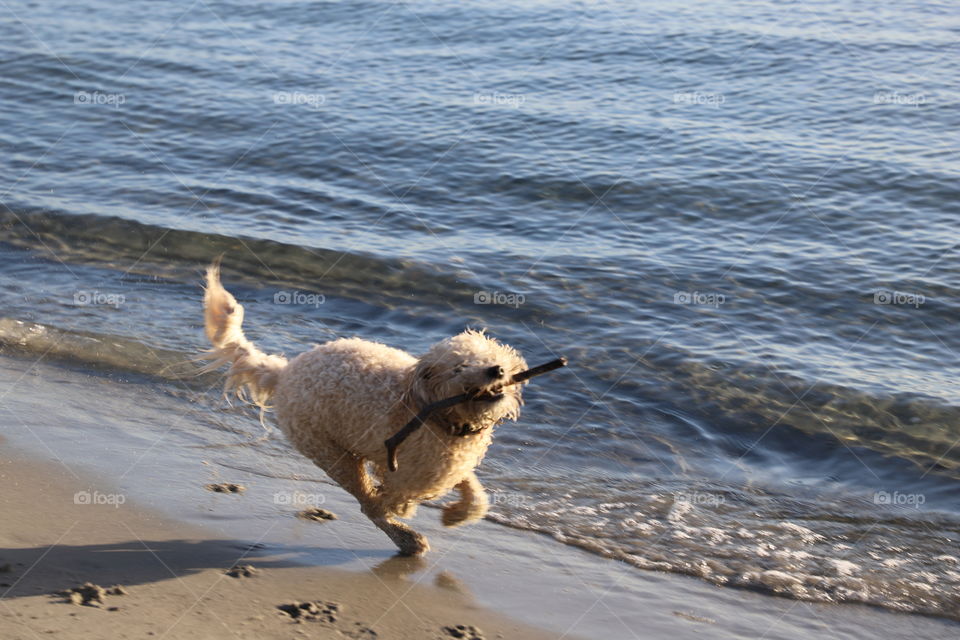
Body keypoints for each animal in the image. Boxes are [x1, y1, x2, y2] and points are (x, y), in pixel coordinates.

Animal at [204, 262, 532, 556]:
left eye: (489, 355)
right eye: (459, 367)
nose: (496, 369)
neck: (437, 414)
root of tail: (284, 372)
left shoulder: (453, 464)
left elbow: (475, 495)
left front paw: (456, 514)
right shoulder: (409, 472)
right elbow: (390, 499)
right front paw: (403, 510)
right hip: (331, 453)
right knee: (366, 503)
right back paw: (406, 538)